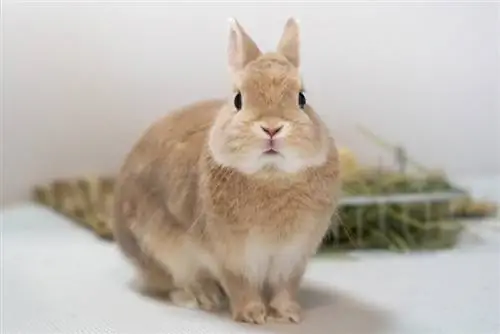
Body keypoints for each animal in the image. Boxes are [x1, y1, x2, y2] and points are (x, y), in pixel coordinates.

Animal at [112, 17, 342, 324]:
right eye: (238, 100)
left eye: (302, 99)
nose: (272, 128)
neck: (271, 176)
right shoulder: (232, 259)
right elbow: (241, 287)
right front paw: (253, 315)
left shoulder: (292, 258)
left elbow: (285, 287)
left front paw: (289, 314)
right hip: (161, 252)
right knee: (172, 284)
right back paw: (201, 297)